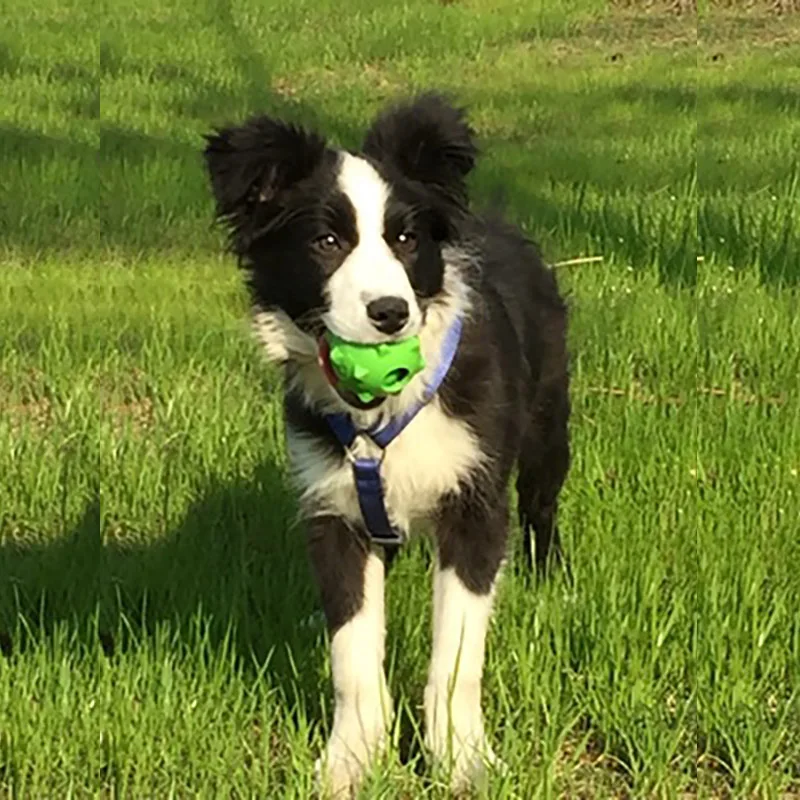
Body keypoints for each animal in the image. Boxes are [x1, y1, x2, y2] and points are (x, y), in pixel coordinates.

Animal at [203, 94, 572, 792]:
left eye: (405, 239)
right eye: (326, 242)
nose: (390, 313)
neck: (383, 416)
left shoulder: (475, 502)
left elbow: (457, 653)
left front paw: (463, 760)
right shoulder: (334, 507)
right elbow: (351, 649)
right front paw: (350, 761)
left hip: (547, 421)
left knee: (543, 501)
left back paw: (549, 577)